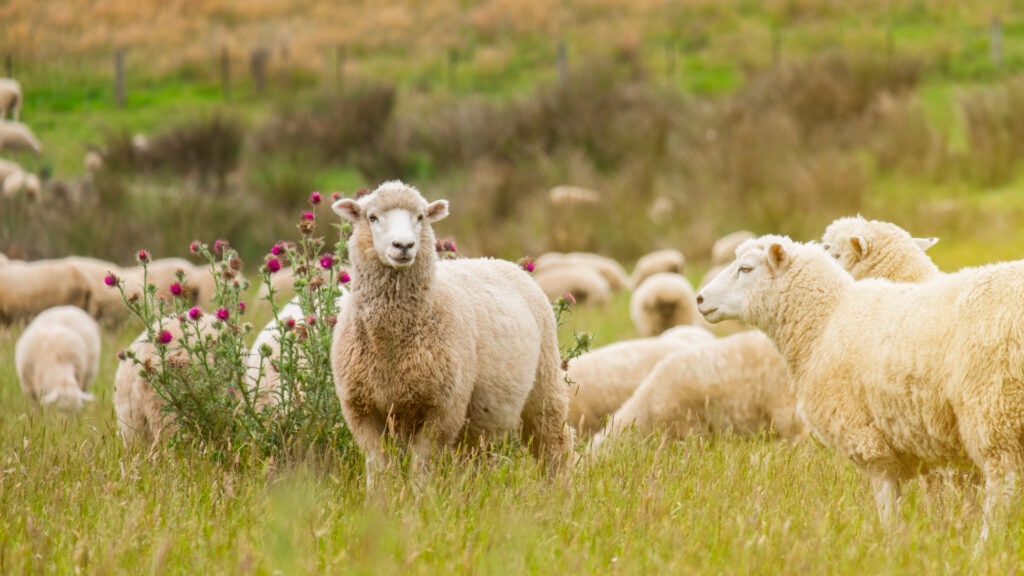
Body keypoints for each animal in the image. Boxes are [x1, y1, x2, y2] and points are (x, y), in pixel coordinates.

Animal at [331, 181, 573, 486]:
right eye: (371, 217)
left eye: (420, 217)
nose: (404, 246)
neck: (390, 347)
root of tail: (497, 260)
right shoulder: (361, 409)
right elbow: (379, 467)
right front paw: (380, 498)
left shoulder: (443, 409)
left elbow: (421, 466)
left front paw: (418, 495)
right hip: (479, 419)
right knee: (477, 459)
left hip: (544, 383)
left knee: (554, 442)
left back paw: (559, 487)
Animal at [696, 235, 1024, 538]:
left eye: (746, 268)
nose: (699, 299)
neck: (824, 322)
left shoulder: (869, 442)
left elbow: (887, 506)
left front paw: (890, 545)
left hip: (994, 410)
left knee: (1001, 491)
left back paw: (984, 547)